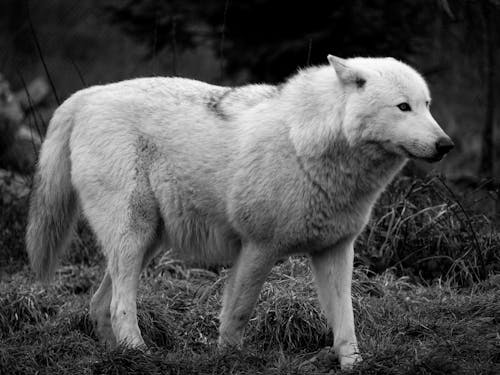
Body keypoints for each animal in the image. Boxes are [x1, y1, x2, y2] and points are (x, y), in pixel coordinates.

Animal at [24, 55, 454, 370]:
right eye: (403, 107)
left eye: (427, 105)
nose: (446, 144)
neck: (308, 146)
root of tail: (85, 95)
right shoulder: (258, 247)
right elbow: (239, 313)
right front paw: (229, 359)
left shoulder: (335, 250)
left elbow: (345, 322)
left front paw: (354, 364)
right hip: (135, 235)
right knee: (118, 305)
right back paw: (139, 352)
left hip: (147, 243)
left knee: (99, 304)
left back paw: (118, 357)